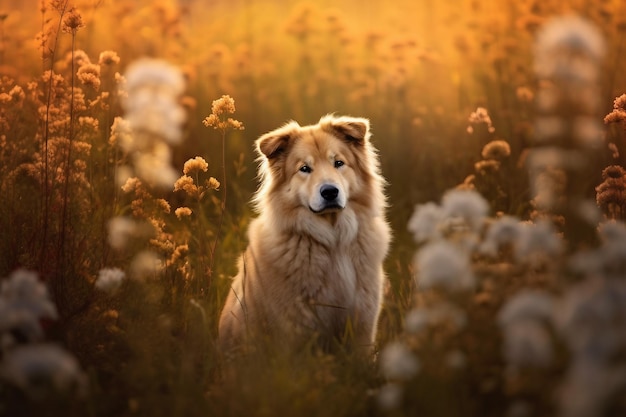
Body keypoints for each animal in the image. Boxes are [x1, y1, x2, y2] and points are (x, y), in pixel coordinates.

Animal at [217, 114, 388, 354]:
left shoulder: (362, 323)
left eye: (338, 163)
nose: (330, 192)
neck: (333, 241)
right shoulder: (295, 328)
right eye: (305, 168)